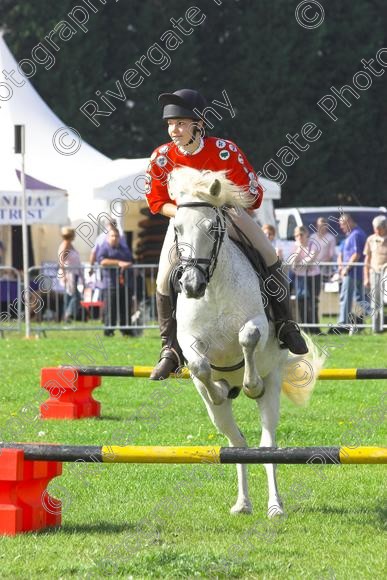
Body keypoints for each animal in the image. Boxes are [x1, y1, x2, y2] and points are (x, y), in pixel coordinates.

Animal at [168, 167, 326, 516]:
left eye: (212, 227)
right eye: (177, 228)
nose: (192, 285)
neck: (213, 287)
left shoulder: (258, 325)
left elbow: (247, 336)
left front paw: (251, 384)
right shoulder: (188, 340)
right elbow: (199, 365)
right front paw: (217, 388)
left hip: (275, 382)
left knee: (268, 445)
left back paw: (274, 505)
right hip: (219, 416)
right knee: (237, 444)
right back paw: (242, 502)